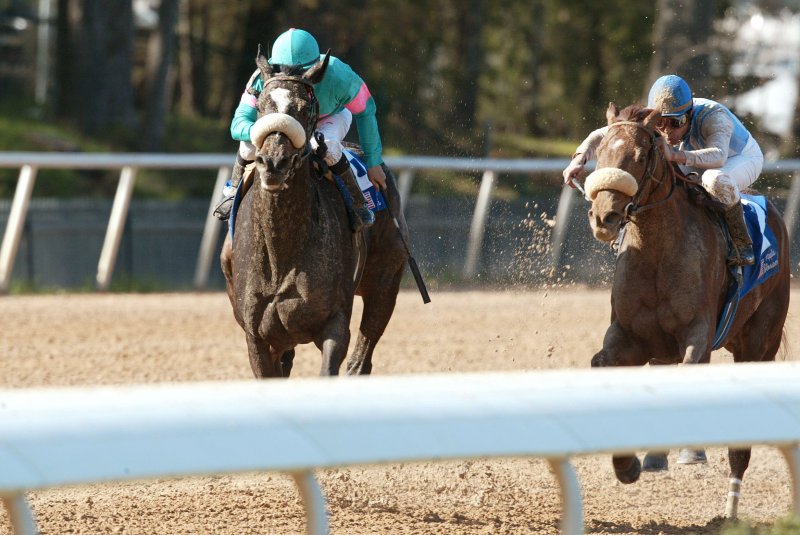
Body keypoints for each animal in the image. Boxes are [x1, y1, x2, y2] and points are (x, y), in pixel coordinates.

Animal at [220, 48, 409, 378]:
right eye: (262, 105)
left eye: (305, 108)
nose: (274, 162)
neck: (282, 251)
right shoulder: (257, 337)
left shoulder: (335, 324)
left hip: (386, 280)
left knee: (363, 355)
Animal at [584, 103, 790, 518]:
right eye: (602, 153)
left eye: (640, 156)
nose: (604, 217)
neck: (657, 252)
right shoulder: (628, 337)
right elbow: (603, 366)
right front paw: (627, 464)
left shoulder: (698, 333)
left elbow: (691, 369)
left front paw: (690, 452)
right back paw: (655, 458)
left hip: (760, 342)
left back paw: (729, 510)